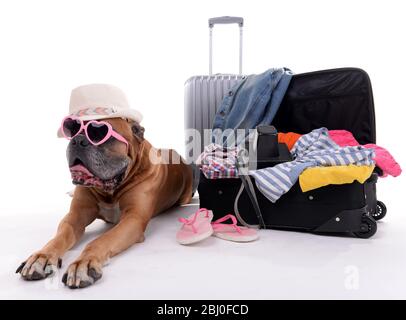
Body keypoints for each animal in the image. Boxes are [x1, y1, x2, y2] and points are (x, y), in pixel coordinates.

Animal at [15, 84, 193, 288]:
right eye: (72, 130)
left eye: (99, 133)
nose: (78, 140)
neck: (110, 191)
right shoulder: (75, 217)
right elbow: (60, 236)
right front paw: (41, 257)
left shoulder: (133, 219)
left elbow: (100, 240)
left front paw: (83, 263)